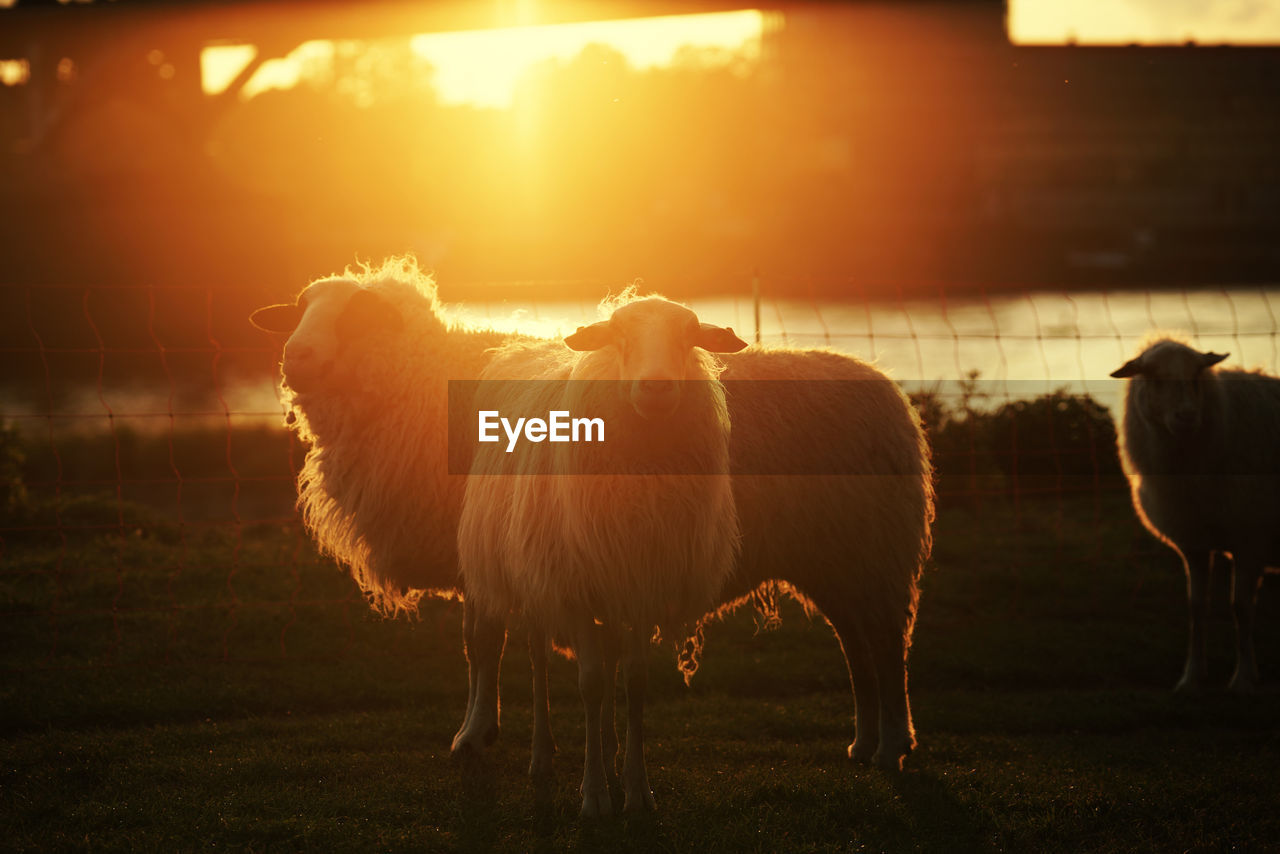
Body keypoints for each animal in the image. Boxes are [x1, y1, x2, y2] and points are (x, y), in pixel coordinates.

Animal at [460, 295, 747, 819]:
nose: (656, 387)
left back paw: (611, 753)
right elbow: (591, 683)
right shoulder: (570, 589)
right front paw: (594, 795)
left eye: (687, 336)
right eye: (620, 337)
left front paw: (636, 789)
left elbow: (633, 682)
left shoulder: (640, 583)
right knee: (538, 659)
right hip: (536, 576)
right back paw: (543, 756)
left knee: (611, 654)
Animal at [1111, 338, 1280, 691]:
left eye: (1196, 376)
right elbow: (1196, 608)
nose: (1187, 416)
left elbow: (1241, 607)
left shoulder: (1250, 537)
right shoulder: (1194, 542)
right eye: (1154, 377)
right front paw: (1191, 677)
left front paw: (1244, 678)